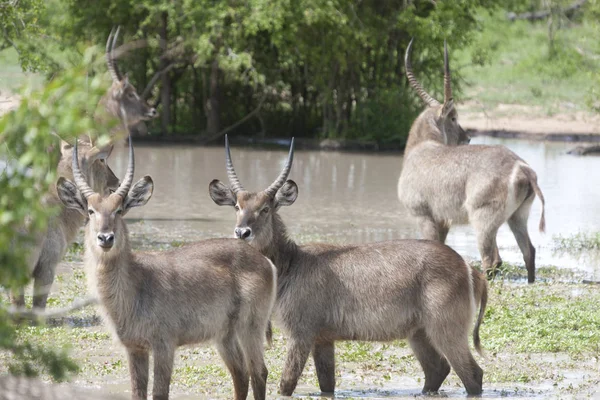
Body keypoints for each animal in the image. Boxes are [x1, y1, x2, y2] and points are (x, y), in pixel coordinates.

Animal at [55, 138, 276, 400]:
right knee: (241, 374)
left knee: (259, 372)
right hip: (224, 334)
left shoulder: (164, 344)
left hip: (251, 326)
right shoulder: (135, 347)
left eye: (119, 210)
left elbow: (160, 393)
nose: (105, 238)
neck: (135, 286)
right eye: (90, 211)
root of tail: (264, 260)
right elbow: (137, 392)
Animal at [396, 40, 548, 282]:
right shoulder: (443, 220)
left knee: (491, 260)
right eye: (454, 118)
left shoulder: (424, 215)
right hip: (517, 217)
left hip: (482, 219)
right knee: (528, 252)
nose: (467, 137)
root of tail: (522, 168)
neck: (420, 148)